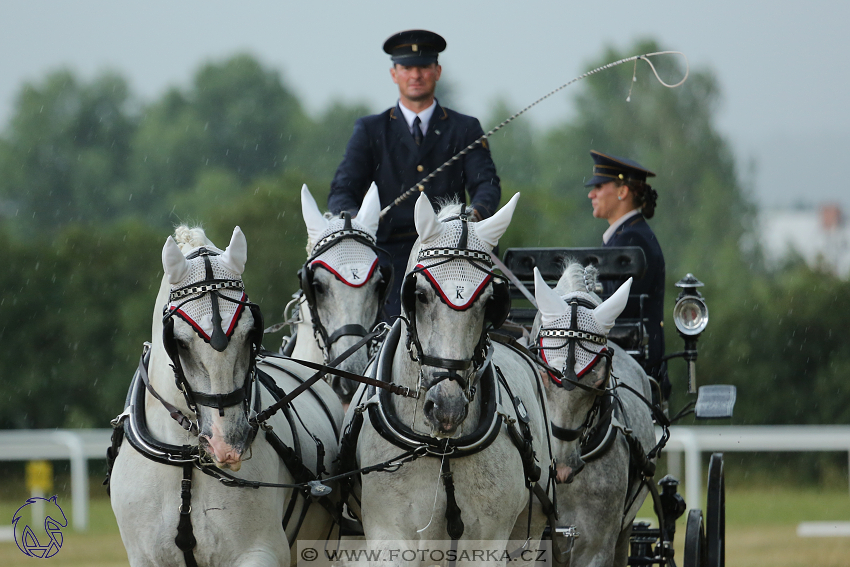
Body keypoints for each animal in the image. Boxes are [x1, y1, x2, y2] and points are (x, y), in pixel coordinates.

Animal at [109, 226, 342, 567]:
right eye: (179, 341)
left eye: (249, 333)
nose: (227, 444)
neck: (186, 459)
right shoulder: (145, 558)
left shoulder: (258, 551)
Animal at [342, 194, 552, 564]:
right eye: (420, 294)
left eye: (490, 301)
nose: (447, 408)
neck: (442, 450)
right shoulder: (389, 536)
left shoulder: (487, 544)